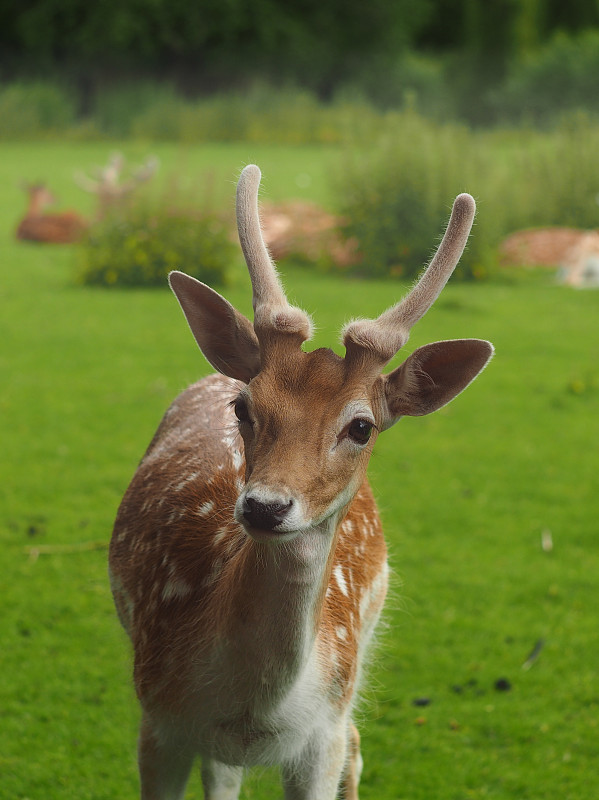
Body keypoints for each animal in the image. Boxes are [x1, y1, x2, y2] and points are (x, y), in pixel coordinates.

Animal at [110, 166, 494, 796]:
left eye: (361, 426)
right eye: (244, 407)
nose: (265, 507)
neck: (255, 708)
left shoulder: (321, 734)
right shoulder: (157, 717)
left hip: (358, 666)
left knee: (356, 742)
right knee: (225, 772)